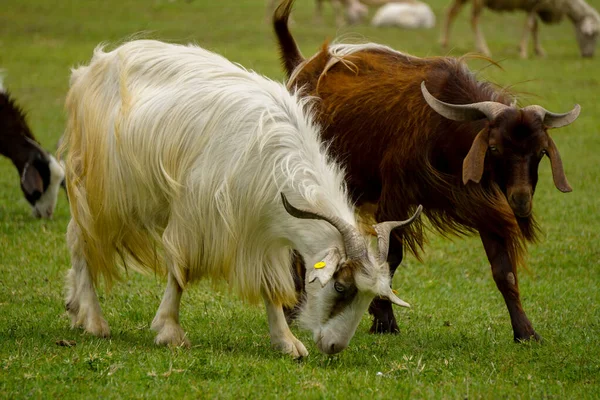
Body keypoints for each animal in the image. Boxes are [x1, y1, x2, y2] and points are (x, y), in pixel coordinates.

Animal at [274, 0, 580, 340]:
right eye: (495, 148)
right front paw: (384, 319)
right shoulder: (395, 195)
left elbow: (503, 268)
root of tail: (302, 66)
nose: (521, 200)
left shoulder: (484, 204)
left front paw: (525, 331)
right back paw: (292, 309)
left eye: (539, 152)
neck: (444, 128)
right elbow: (391, 256)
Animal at [438, 0, 600, 58]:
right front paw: (523, 51)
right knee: (474, 19)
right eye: (591, 34)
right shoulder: (534, 4)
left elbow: (534, 26)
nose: (589, 55)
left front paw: (538, 50)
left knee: (451, 11)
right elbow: (530, 25)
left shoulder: (532, 6)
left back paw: (444, 42)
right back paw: (483, 48)